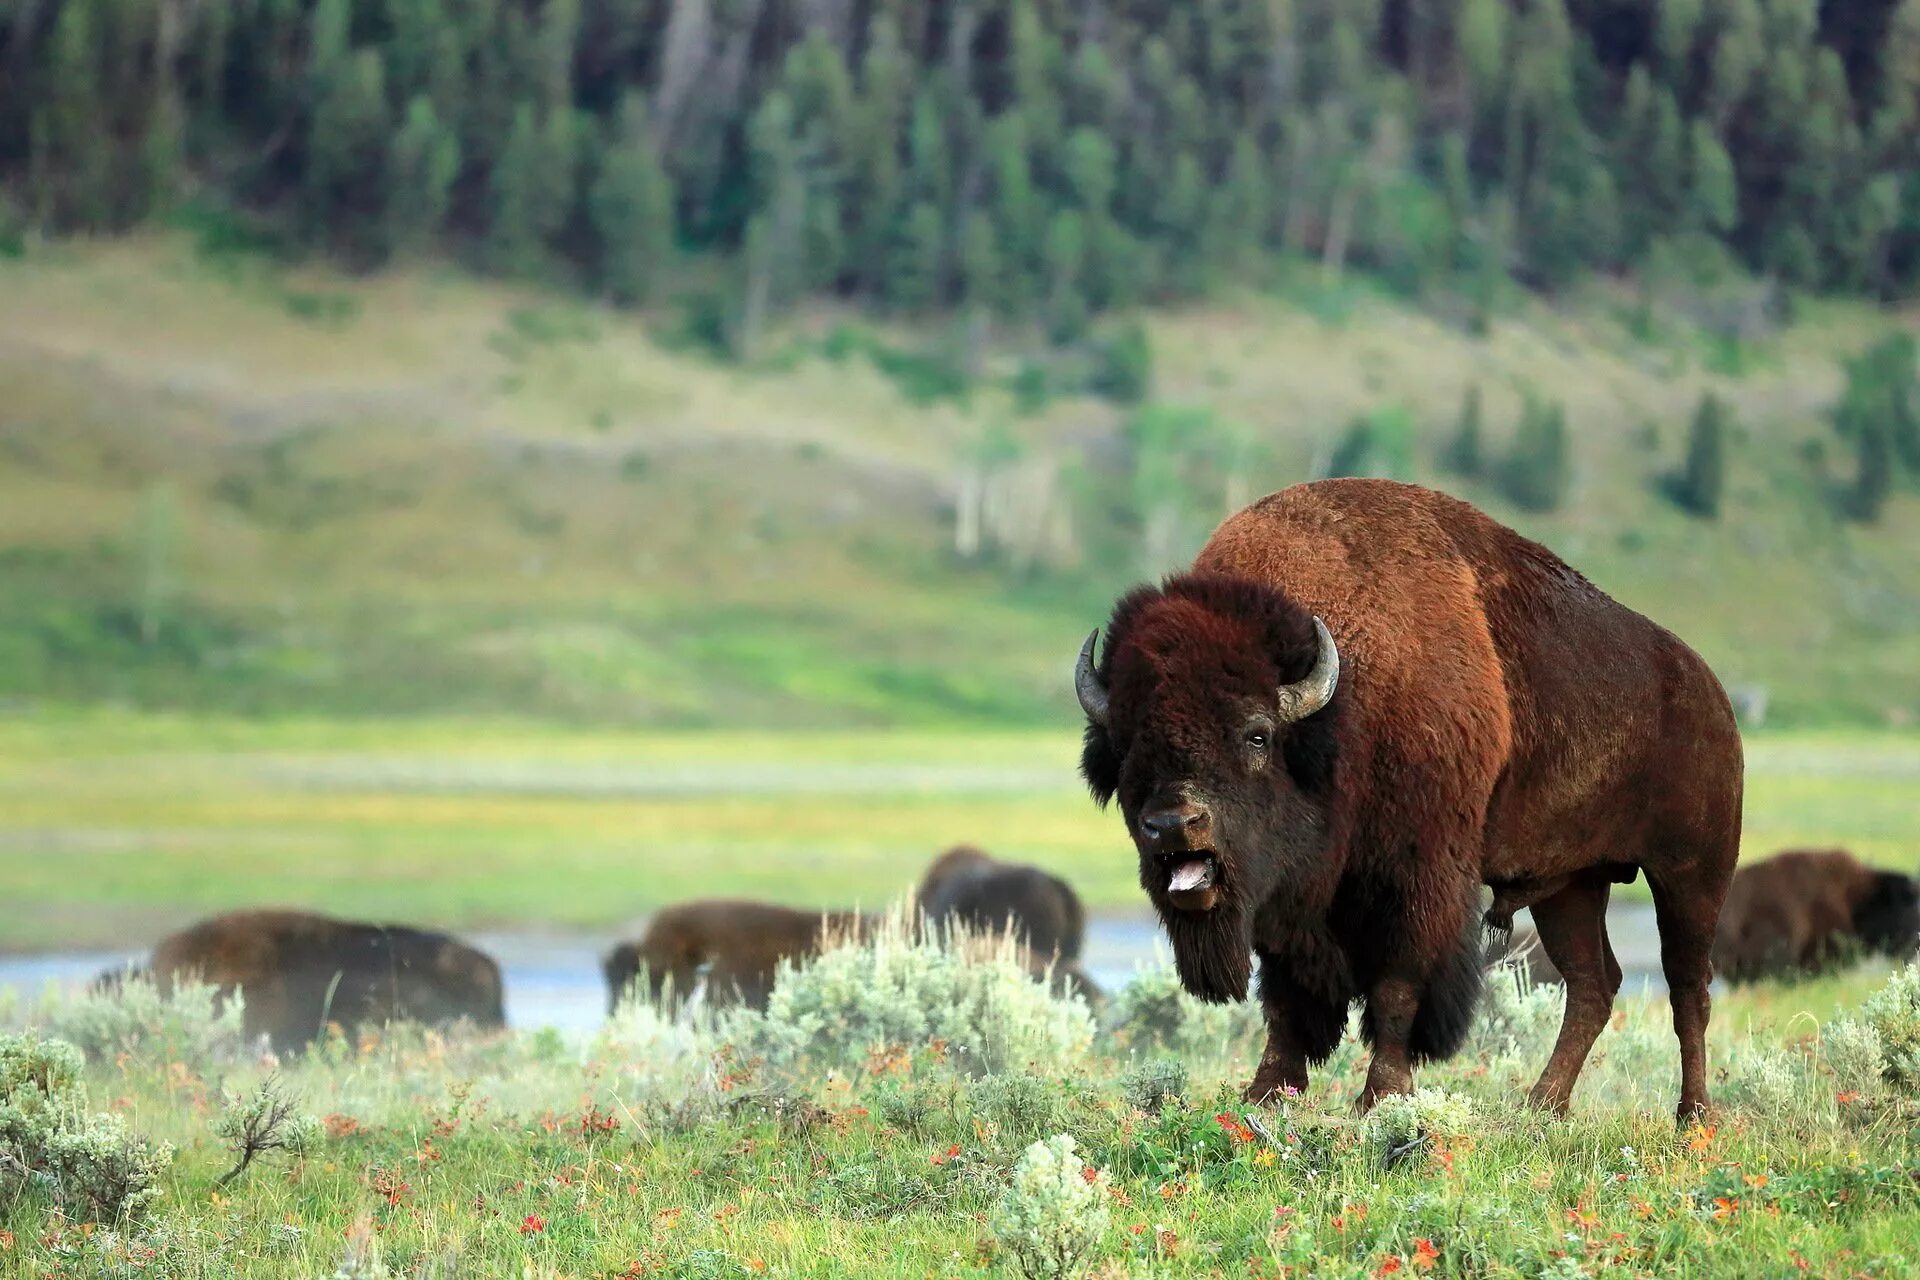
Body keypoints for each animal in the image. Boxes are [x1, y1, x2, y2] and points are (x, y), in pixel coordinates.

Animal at [1075, 479, 1751, 1120]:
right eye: (1126, 746)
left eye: (1257, 733)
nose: (1173, 823)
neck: (1341, 708)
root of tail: (1711, 692)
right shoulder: (1284, 908)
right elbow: (1285, 999)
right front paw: (1266, 1093)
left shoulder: (1415, 880)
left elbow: (1397, 986)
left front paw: (1381, 1095)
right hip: (1572, 884)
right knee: (1593, 984)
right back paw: (1541, 1107)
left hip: (1690, 875)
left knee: (1688, 988)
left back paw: (1691, 1116)